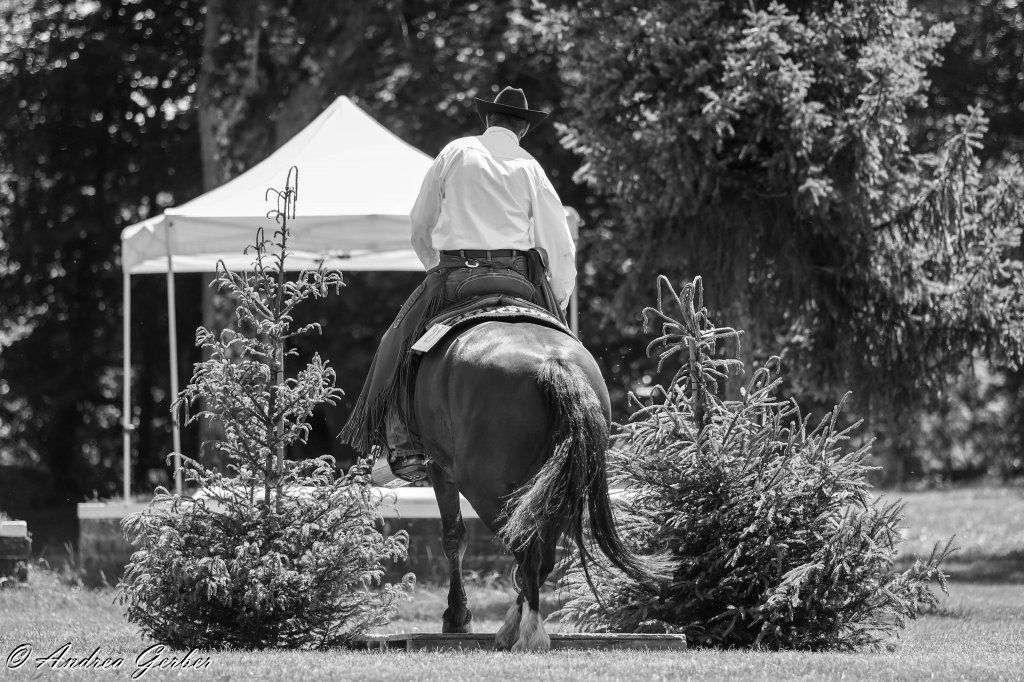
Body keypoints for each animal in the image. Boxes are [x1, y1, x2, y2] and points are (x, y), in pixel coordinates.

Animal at [412, 319, 662, 651]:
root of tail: (553, 362)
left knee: (524, 546)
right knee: (541, 556)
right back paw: (518, 625)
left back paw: (526, 631)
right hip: (558, 487)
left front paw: (456, 617)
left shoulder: (439, 467)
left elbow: (454, 537)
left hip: (487, 488)